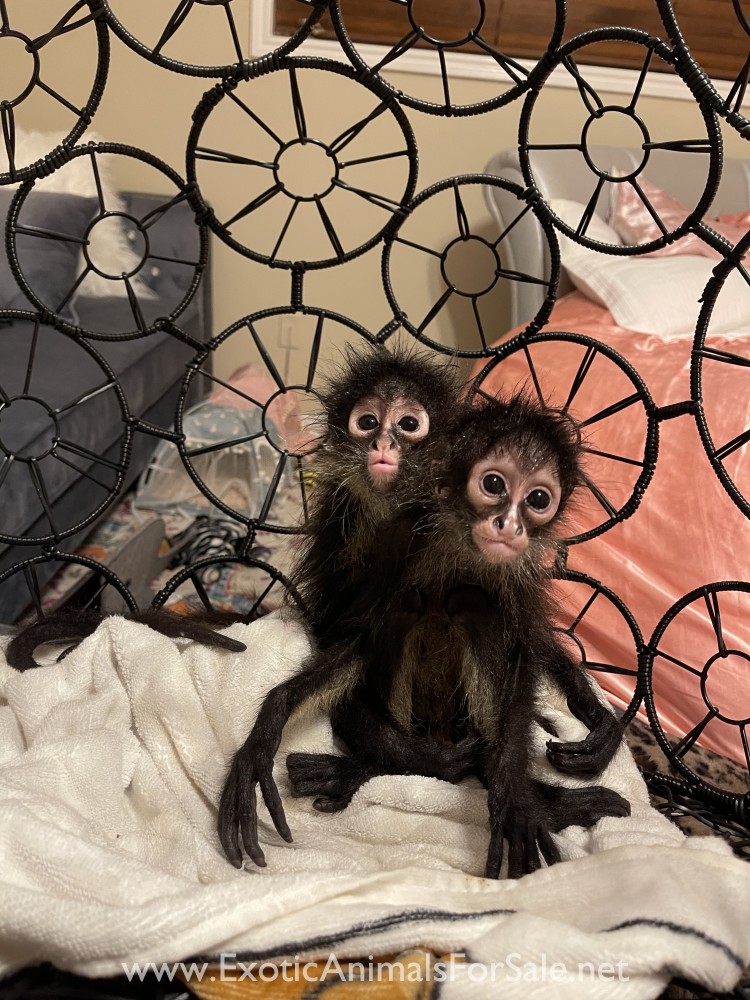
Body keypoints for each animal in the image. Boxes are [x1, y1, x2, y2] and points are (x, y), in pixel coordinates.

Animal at [286, 392, 628, 879]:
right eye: (493, 484)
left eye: (538, 498)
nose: (509, 525)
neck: (464, 545)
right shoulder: (393, 531)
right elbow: (352, 634)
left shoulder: (522, 571)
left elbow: (524, 653)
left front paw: (519, 799)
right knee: (416, 606)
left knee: (473, 605)